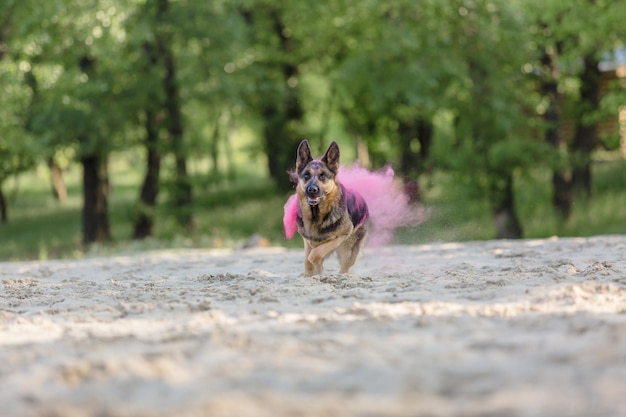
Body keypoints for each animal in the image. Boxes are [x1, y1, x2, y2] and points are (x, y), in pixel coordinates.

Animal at [290, 141, 368, 276]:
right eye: (306, 175)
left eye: (323, 176)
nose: (312, 190)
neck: (316, 215)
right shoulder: (307, 240)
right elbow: (307, 260)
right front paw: (309, 275)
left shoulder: (343, 234)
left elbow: (315, 254)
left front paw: (315, 265)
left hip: (348, 250)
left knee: (345, 266)